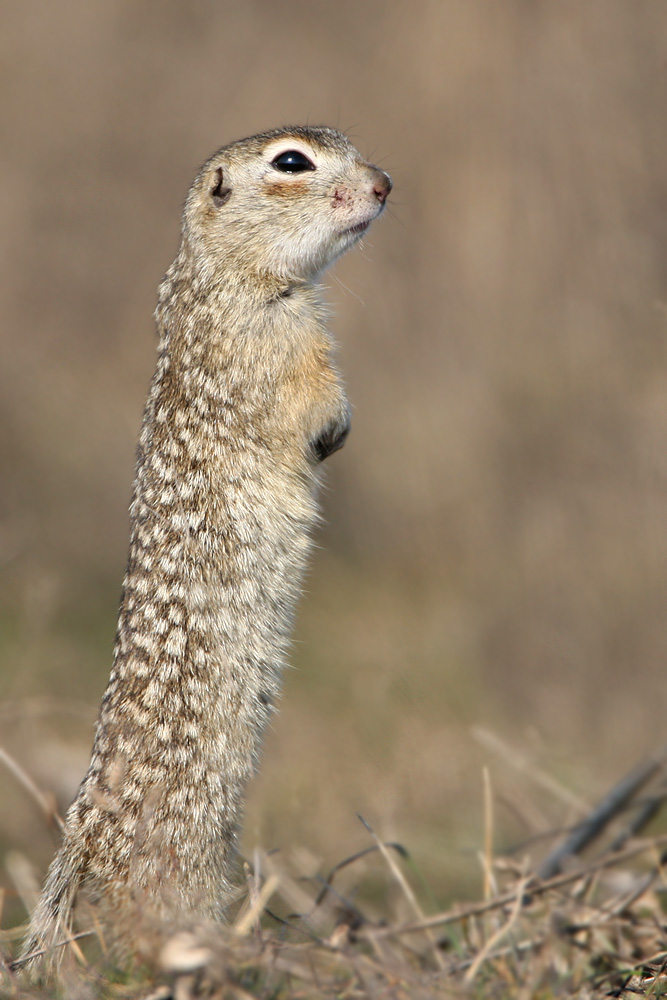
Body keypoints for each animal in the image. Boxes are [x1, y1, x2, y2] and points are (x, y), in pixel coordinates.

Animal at [22, 121, 392, 964]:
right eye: (292, 161)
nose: (384, 184)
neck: (226, 274)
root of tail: (82, 837)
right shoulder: (270, 353)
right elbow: (309, 398)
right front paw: (334, 430)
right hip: (177, 865)